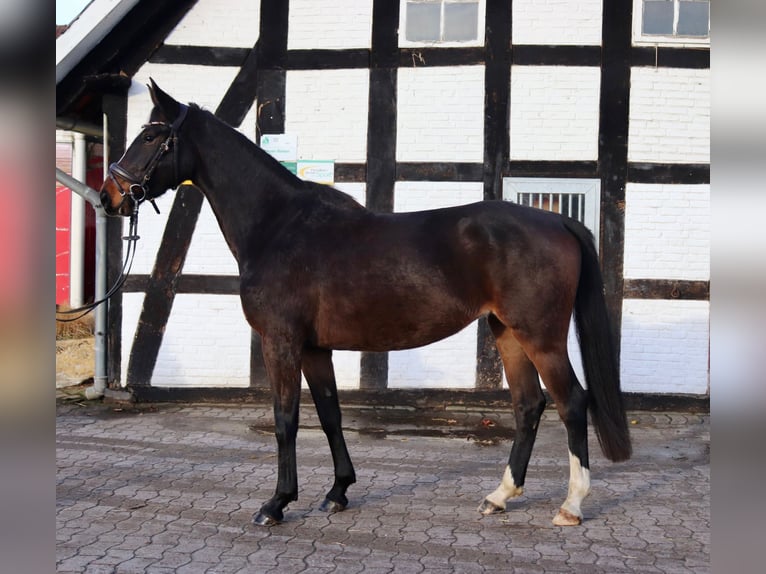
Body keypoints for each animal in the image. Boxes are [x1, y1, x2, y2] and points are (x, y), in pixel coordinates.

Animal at [101, 80, 631, 527]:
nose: (110, 196)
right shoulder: (315, 348)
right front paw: (337, 492)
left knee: (571, 402)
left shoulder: (281, 342)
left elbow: (286, 419)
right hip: (508, 333)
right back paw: (499, 496)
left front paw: (276, 503)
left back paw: (570, 505)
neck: (278, 224)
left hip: (540, 336)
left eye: (151, 135)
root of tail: (557, 221)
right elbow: (330, 415)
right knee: (528, 405)